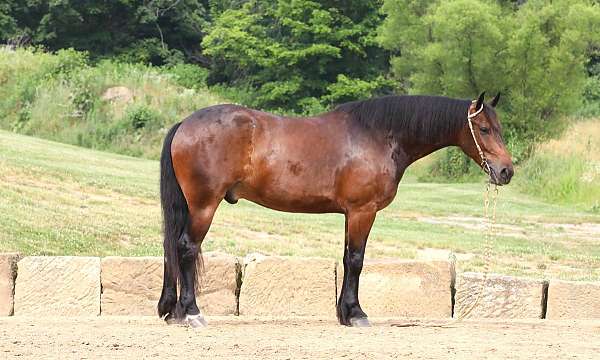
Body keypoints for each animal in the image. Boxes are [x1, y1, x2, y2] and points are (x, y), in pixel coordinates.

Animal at [157, 91, 512, 328]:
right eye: (484, 129)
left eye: (499, 127)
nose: (507, 171)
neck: (377, 136)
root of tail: (185, 124)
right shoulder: (362, 212)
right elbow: (356, 261)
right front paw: (356, 314)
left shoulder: (350, 214)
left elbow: (346, 259)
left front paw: (344, 312)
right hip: (204, 206)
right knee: (186, 249)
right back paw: (191, 312)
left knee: (170, 248)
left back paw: (171, 311)